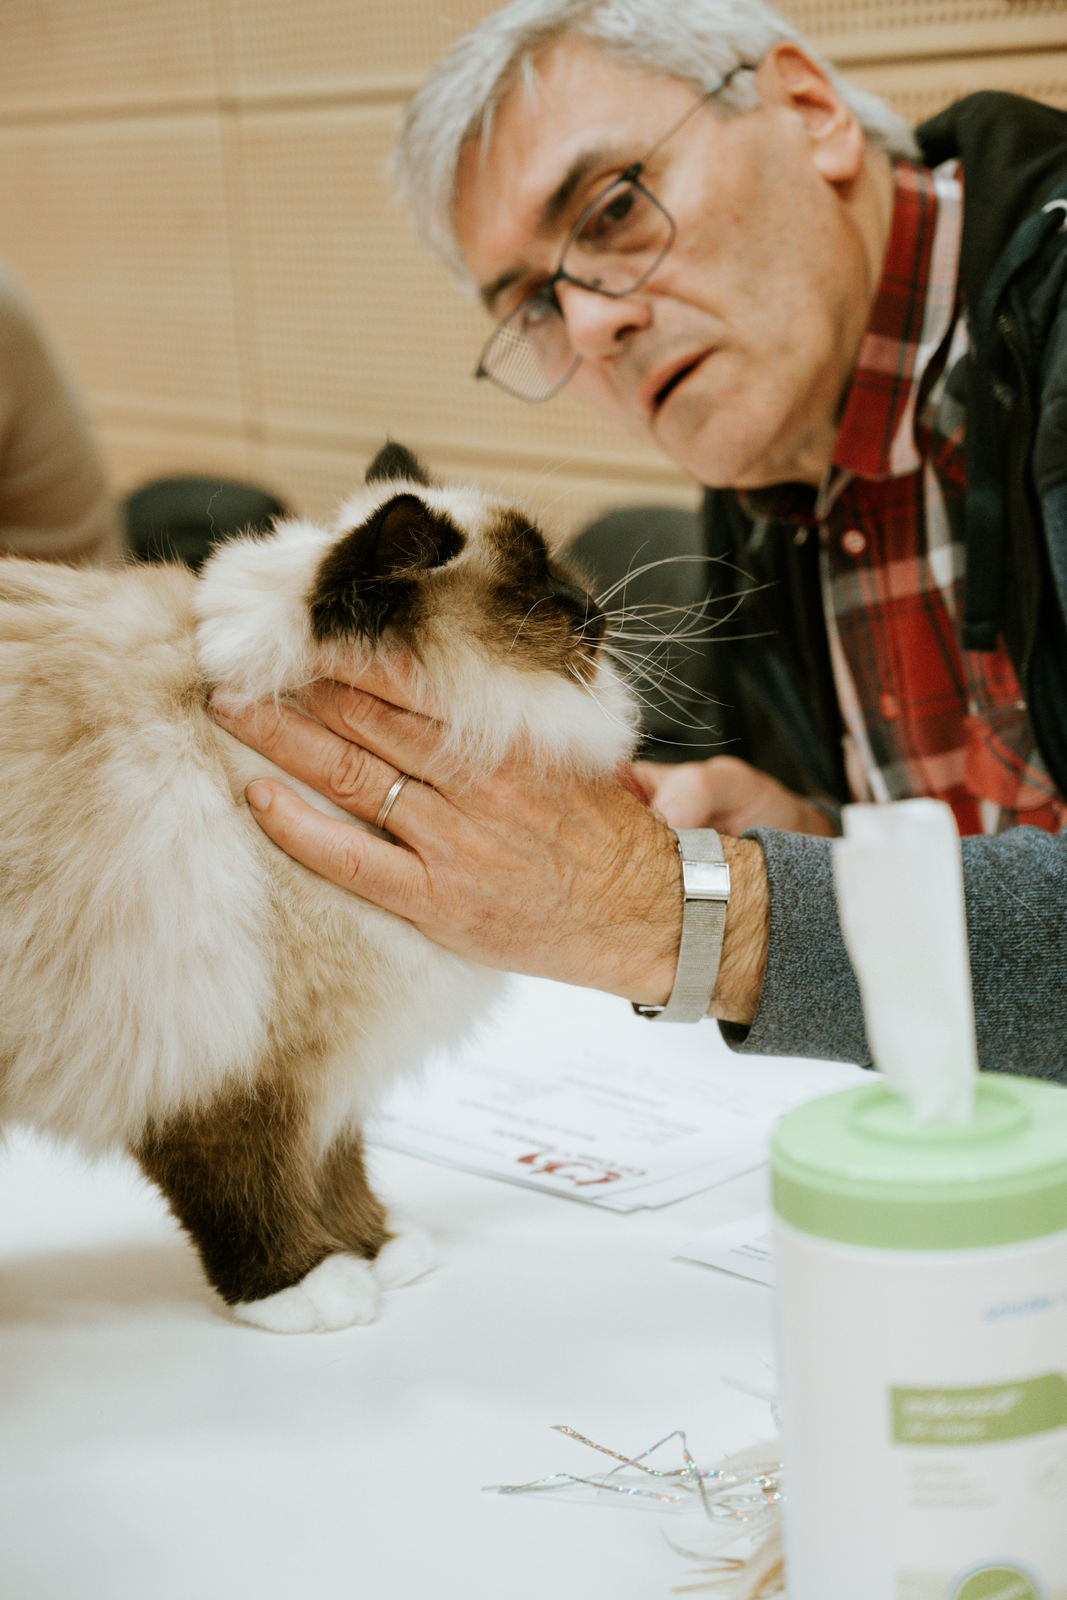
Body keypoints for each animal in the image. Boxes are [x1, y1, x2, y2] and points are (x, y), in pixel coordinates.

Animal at [0, 441, 639, 1333]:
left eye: (560, 573)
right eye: (534, 593)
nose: (595, 612)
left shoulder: (330, 1053)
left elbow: (335, 1160)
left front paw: (378, 1248)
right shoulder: (230, 1051)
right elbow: (252, 1179)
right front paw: (303, 1284)